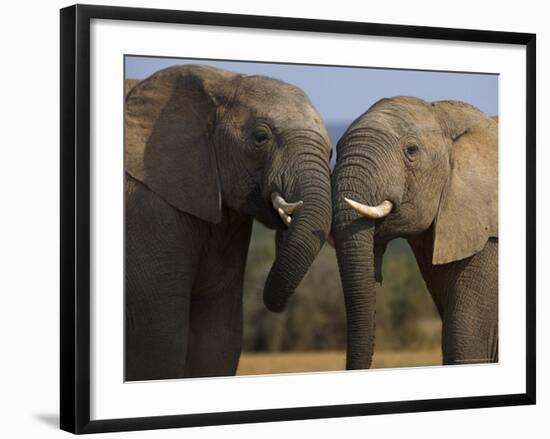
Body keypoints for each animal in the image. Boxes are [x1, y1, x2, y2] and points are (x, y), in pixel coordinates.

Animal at [125, 65, 332, 382]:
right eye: (260, 137)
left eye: (331, 152)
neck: (220, 81)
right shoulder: (146, 208)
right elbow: (159, 338)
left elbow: (219, 333)